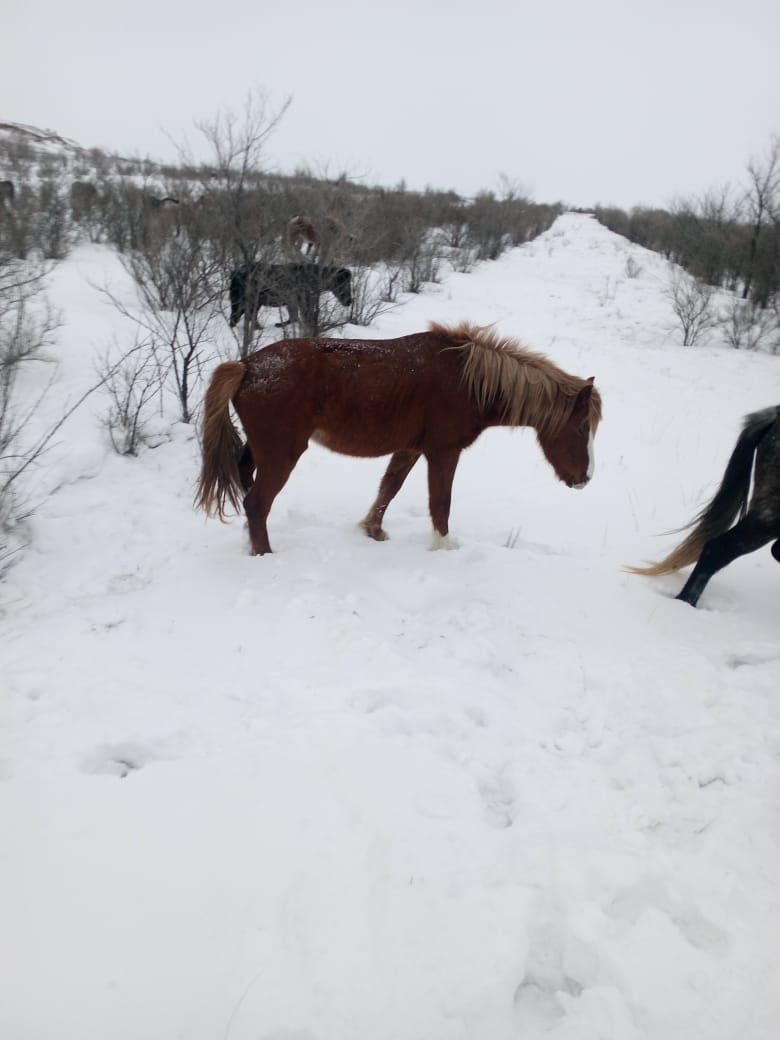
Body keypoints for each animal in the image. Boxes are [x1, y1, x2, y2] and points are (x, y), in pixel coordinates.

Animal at [195, 322, 603, 553]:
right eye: (582, 428)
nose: (584, 479)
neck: (468, 381)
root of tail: (245, 366)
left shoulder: (409, 449)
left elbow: (388, 488)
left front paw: (373, 530)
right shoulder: (443, 451)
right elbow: (440, 502)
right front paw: (443, 547)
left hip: (261, 451)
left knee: (246, 483)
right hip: (282, 454)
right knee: (257, 503)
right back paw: (264, 554)